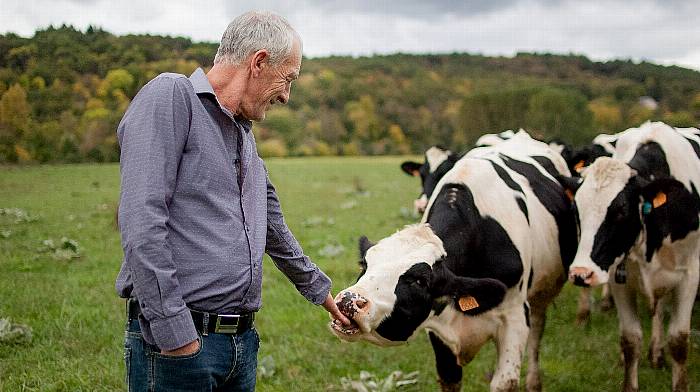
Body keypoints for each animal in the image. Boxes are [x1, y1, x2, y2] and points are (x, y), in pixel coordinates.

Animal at [336, 136, 576, 392]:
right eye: (365, 265)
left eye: (419, 281)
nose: (348, 301)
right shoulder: (438, 329)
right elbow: (450, 378)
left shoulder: (516, 315)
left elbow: (505, 381)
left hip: (543, 291)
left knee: (538, 329)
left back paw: (533, 381)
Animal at [564, 121, 700, 390]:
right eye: (576, 208)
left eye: (621, 211)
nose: (581, 273)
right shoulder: (619, 279)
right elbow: (630, 340)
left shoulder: (690, 275)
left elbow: (679, 341)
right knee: (657, 309)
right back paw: (655, 353)